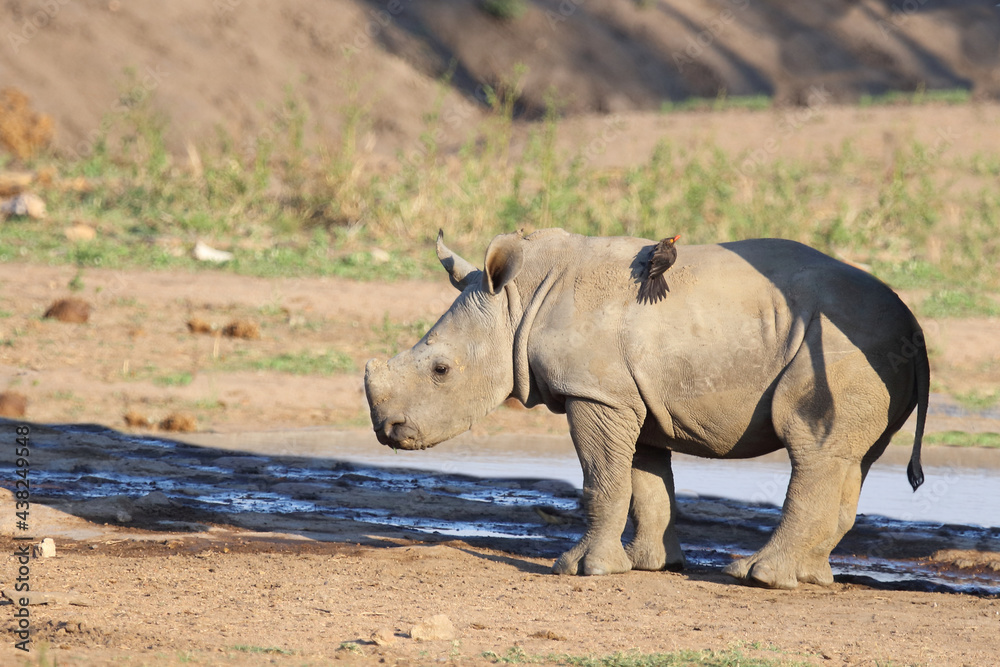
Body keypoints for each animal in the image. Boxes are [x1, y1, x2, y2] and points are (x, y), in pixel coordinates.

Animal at [364, 229, 929, 589]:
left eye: (441, 370)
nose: (388, 430)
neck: (518, 302)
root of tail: (912, 323)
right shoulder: (630, 396)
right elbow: (646, 485)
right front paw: (646, 565)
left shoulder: (595, 393)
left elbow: (602, 481)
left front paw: (581, 570)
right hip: (870, 348)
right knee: (850, 457)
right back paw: (809, 577)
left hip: (842, 345)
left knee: (812, 445)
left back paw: (757, 578)